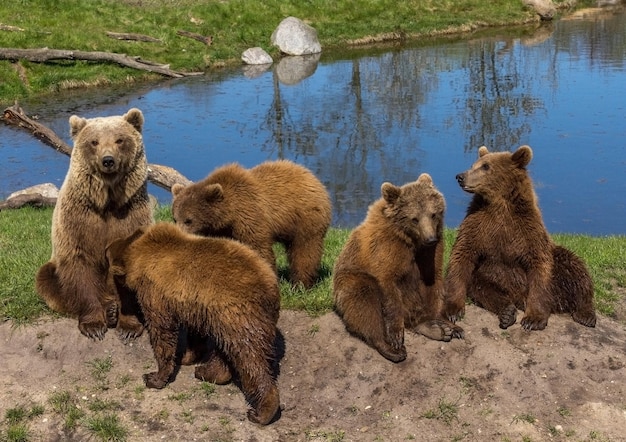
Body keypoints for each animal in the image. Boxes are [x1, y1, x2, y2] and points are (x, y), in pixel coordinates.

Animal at [36, 109, 154, 340]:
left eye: (119, 139)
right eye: (94, 141)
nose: (108, 160)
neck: (108, 201)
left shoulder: (131, 217)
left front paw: (129, 327)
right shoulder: (79, 221)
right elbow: (79, 265)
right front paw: (94, 326)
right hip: (52, 271)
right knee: (46, 279)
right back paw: (108, 310)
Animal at [106, 223, 280, 426]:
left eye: (107, 257)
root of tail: (272, 288)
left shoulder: (155, 291)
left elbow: (161, 330)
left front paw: (154, 377)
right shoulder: (194, 304)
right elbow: (194, 332)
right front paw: (185, 356)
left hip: (238, 313)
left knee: (249, 356)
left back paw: (261, 411)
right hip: (221, 317)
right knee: (224, 347)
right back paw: (208, 371)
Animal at [168, 161, 330, 288]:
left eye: (189, 220)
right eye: (175, 218)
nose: (179, 234)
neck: (229, 214)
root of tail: (312, 177)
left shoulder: (249, 215)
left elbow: (258, 247)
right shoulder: (221, 230)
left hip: (306, 218)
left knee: (305, 250)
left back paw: (301, 284)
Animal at [332, 173, 464, 362]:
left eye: (433, 214)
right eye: (414, 218)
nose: (430, 239)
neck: (411, 240)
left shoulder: (432, 252)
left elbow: (434, 283)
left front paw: (446, 322)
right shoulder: (387, 249)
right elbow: (388, 285)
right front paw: (395, 336)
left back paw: (440, 329)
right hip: (351, 278)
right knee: (364, 301)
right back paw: (390, 348)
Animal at [444, 145, 596, 332]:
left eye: (485, 166)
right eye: (474, 165)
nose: (460, 176)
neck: (500, 204)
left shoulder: (527, 231)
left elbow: (539, 266)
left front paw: (533, 319)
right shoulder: (478, 225)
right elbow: (462, 256)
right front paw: (453, 310)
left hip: (559, 264)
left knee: (576, 271)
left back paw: (585, 314)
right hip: (490, 276)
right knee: (482, 287)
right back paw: (507, 312)